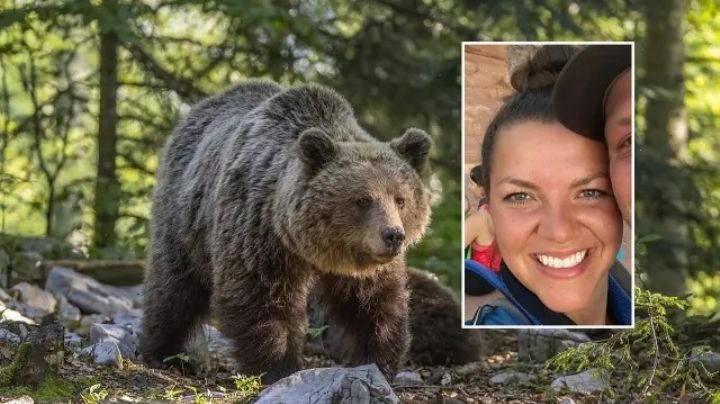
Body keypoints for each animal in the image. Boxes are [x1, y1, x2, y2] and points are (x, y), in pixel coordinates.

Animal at [139, 80, 433, 384]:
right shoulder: (260, 235)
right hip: (185, 217)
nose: (393, 235)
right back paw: (166, 353)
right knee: (175, 287)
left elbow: (374, 305)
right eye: (363, 200)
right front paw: (279, 366)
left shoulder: (364, 265)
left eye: (400, 199)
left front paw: (377, 360)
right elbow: (261, 299)